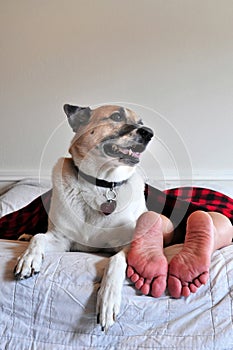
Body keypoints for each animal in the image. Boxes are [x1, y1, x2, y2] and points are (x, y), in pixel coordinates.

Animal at [14, 103, 153, 330]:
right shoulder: (62, 240)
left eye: (141, 122)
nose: (149, 133)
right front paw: (28, 259)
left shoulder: (128, 244)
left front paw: (108, 300)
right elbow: (39, 237)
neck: (102, 184)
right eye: (117, 116)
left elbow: (116, 259)